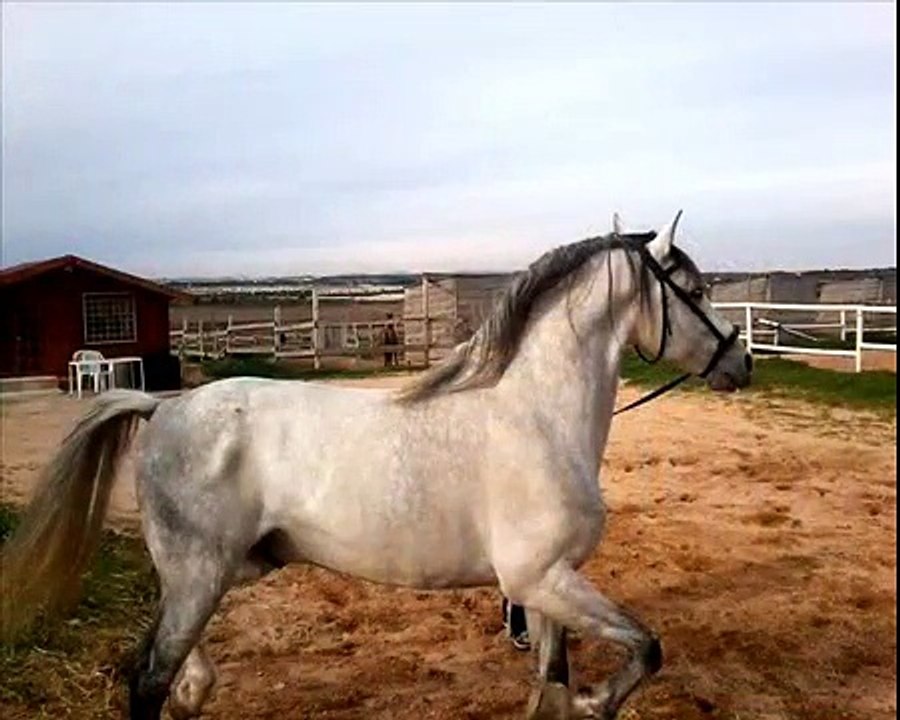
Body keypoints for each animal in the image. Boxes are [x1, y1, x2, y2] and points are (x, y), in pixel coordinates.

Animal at [0, 212, 752, 719]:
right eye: (696, 290)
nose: (741, 362)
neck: (538, 417)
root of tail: (162, 409)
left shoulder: (549, 587)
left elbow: (554, 683)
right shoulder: (541, 579)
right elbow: (644, 650)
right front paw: (598, 700)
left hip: (213, 575)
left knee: (181, 675)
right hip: (200, 574)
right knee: (150, 679)